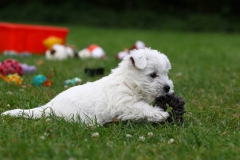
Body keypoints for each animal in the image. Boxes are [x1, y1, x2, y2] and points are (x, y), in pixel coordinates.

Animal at [1, 47, 174, 125]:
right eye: (153, 74)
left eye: (166, 73)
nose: (167, 88)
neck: (129, 82)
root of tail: (49, 107)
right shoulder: (124, 104)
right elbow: (142, 108)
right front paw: (160, 114)